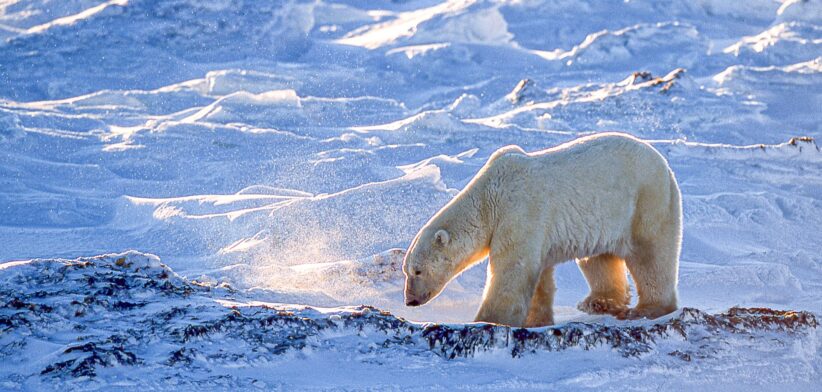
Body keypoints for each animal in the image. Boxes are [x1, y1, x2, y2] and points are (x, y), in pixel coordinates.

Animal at [404, 132, 684, 328]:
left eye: (418, 270)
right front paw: (536, 320)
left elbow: (512, 270)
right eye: (406, 271)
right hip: (606, 216)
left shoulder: (519, 212)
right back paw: (597, 301)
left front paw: (488, 319)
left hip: (645, 202)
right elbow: (539, 276)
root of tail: (666, 167)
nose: (410, 300)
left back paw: (648, 308)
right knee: (598, 258)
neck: (488, 198)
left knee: (650, 257)